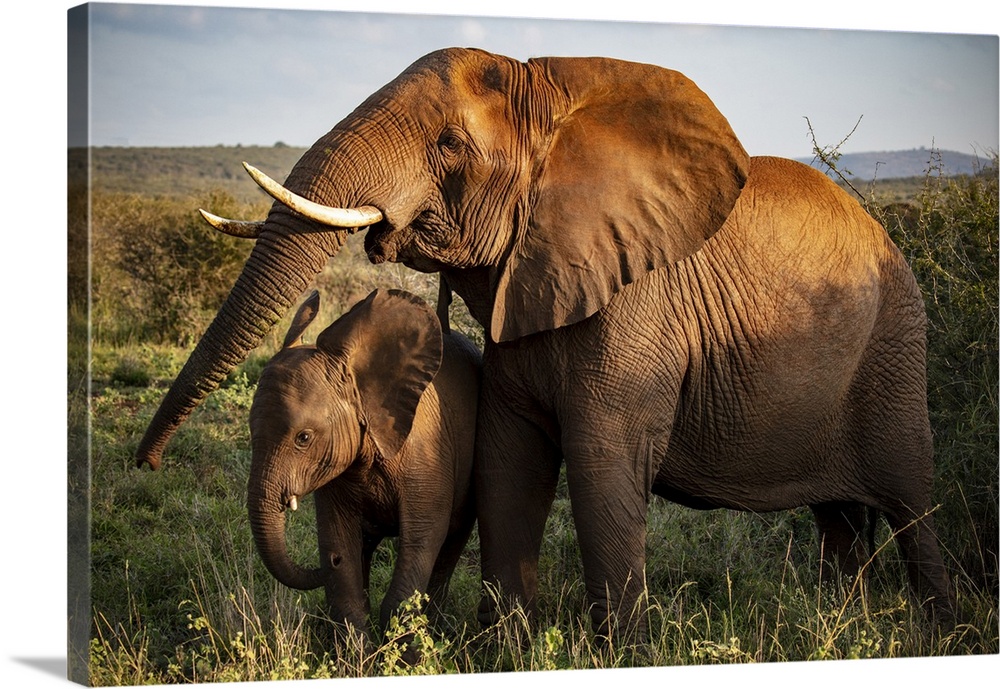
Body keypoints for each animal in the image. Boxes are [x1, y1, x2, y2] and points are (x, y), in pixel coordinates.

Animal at [246, 287, 481, 636]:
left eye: (303, 438)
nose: (327, 562)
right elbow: (339, 540)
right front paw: (358, 650)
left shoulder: (428, 452)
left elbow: (424, 538)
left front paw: (402, 647)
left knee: (451, 542)